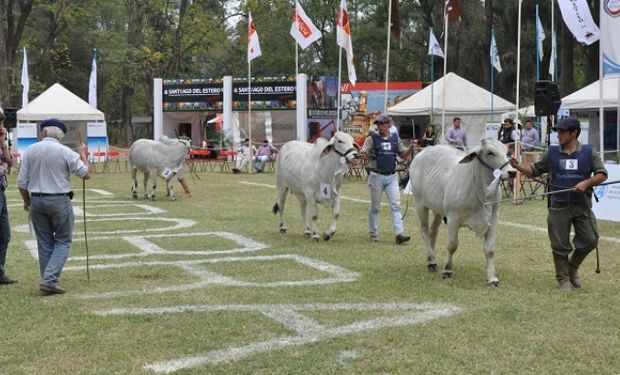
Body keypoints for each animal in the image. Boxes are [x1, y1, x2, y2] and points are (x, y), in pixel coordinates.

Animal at [410, 140, 516, 286]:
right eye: (490, 153)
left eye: (506, 151)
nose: (512, 172)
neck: (481, 193)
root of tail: (424, 151)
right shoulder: (453, 219)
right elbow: (452, 245)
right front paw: (447, 270)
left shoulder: (494, 219)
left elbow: (490, 250)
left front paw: (492, 277)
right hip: (420, 203)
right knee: (424, 230)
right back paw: (431, 260)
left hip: (437, 209)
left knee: (433, 231)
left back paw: (432, 260)